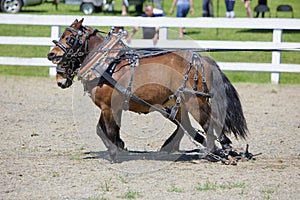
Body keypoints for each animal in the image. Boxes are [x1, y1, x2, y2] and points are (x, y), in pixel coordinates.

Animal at [47, 19, 248, 162]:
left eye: (69, 37)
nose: (51, 55)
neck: (107, 65)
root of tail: (202, 59)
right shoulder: (113, 107)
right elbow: (104, 129)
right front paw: (120, 146)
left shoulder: (107, 106)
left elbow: (108, 130)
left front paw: (114, 153)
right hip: (178, 103)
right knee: (189, 126)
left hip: (194, 101)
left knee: (208, 123)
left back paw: (217, 151)